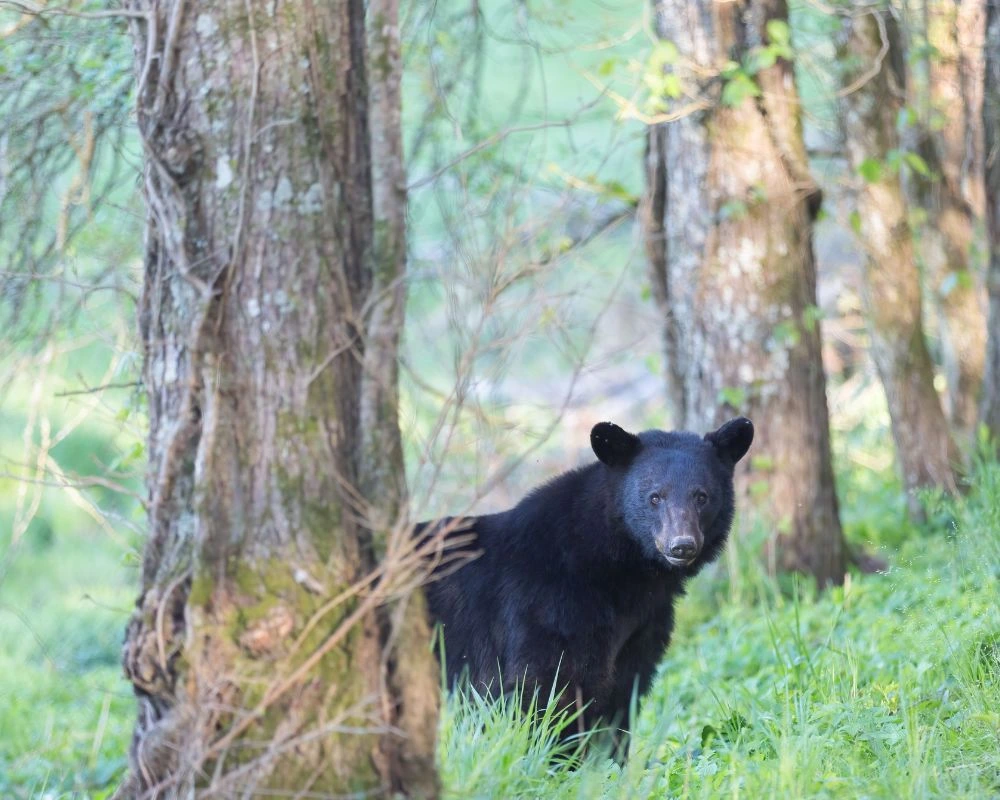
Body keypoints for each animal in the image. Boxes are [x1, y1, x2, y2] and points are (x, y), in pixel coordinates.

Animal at [418, 416, 752, 748]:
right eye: (655, 497)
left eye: (702, 496)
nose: (681, 545)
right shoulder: (546, 608)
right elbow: (543, 688)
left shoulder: (641, 629)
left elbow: (621, 697)